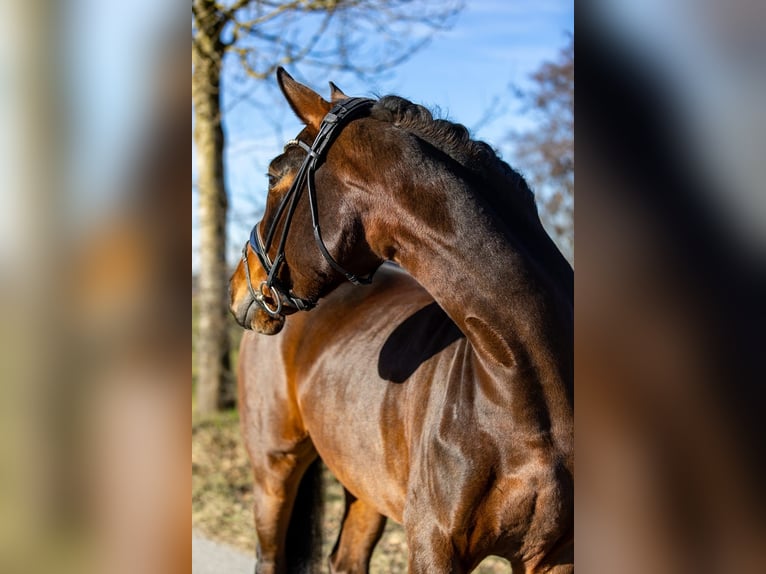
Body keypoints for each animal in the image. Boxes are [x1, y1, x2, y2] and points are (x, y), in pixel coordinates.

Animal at [229, 68, 573, 573]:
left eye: (274, 176)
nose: (239, 287)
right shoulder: (434, 547)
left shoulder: (553, 556)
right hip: (274, 469)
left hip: (362, 482)